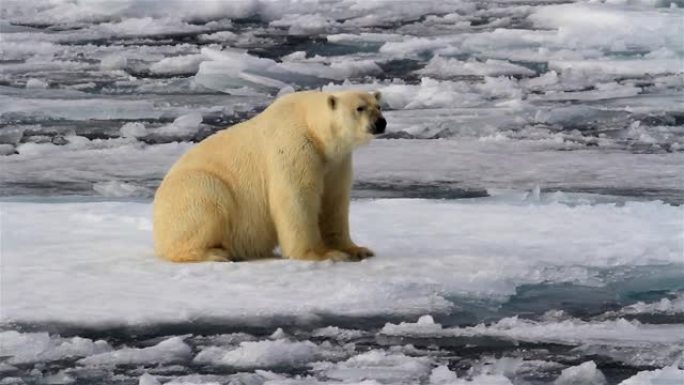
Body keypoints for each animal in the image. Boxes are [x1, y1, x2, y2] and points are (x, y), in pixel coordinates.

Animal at [154, 90, 384, 262]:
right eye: (359, 108)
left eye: (379, 105)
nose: (381, 123)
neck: (313, 128)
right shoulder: (294, 147)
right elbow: (296, 199)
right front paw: (322, 254)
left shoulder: (335, 163)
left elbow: (334, 201)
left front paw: (357, 249)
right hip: (194, 188)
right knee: (209, 202)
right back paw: (215, 253)